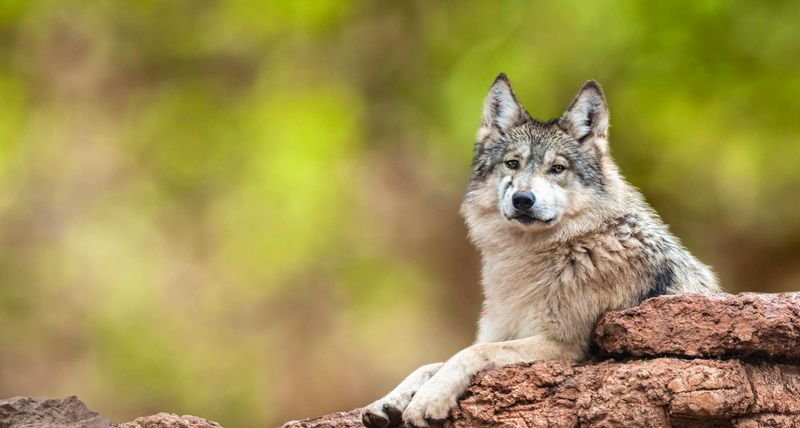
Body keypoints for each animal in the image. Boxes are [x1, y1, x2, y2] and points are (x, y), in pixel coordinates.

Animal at [362, 74, 720, 428]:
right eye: (512, 164)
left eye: (557, 168)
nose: (523, 199)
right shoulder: (502, 332)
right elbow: (429, 365)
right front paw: (385, 403)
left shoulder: (562, 346)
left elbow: (470, 354)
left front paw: (428, 400)